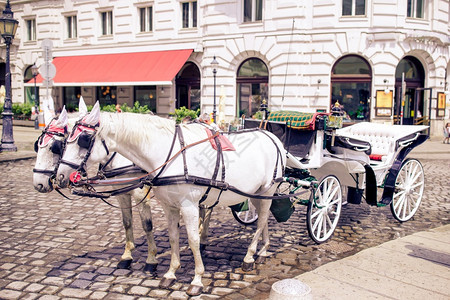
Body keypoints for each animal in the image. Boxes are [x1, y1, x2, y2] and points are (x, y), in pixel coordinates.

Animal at [33, 102, 158, 272]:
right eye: (37, 146)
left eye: (55, 147)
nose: (38, 184)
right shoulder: (122, 193)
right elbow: (127, 222)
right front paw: (127, 256)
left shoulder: (141, 194)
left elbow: (147, 225)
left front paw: (151, 260)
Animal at [57, 101, 284, 296]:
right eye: (65, 141)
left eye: (84, 140)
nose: (59, 176)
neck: (169, 154)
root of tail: (271, 136)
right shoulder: (169, 206)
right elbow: (173, 237)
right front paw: (171, 273)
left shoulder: (189, 205)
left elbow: (192, 240)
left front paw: (197, 279)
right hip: (256, 192)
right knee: (263, 219)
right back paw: (263, 251)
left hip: (268, 188)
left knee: (261, 221)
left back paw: (249, 256)